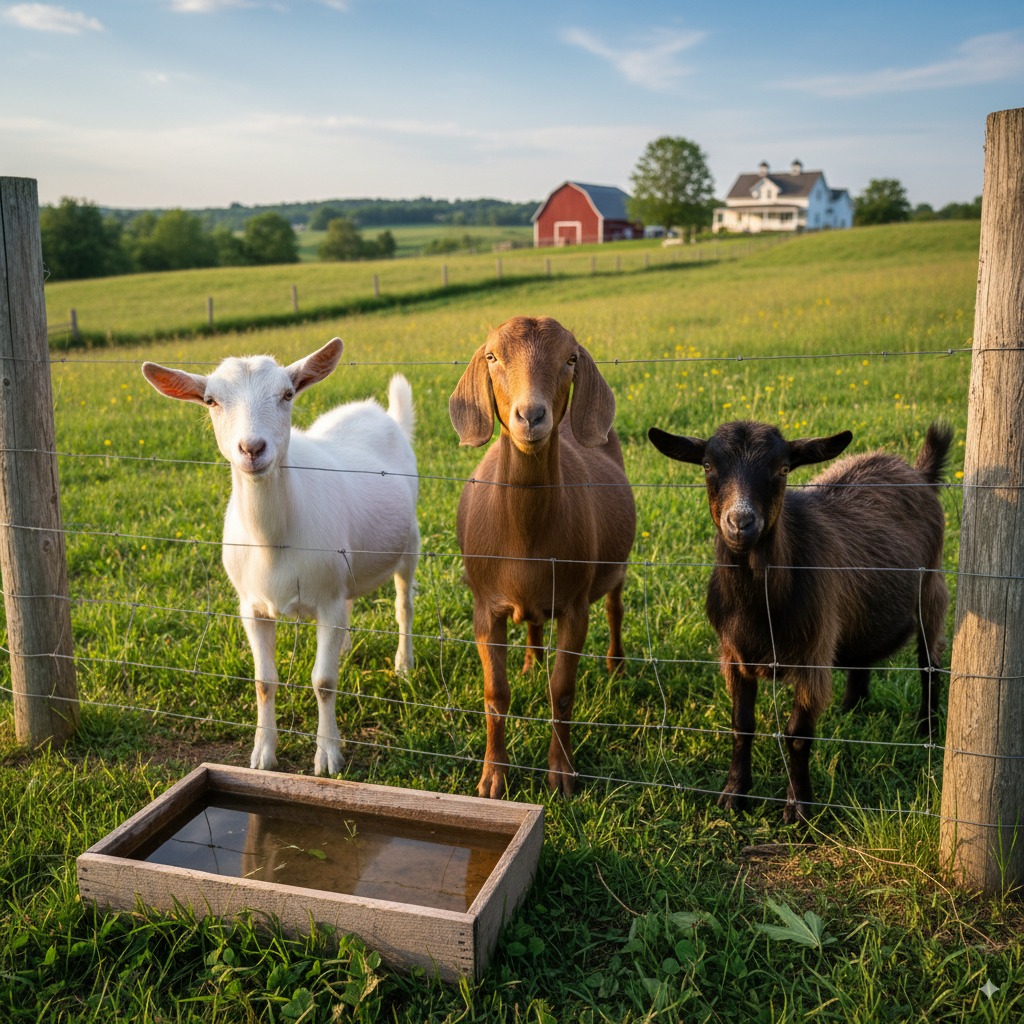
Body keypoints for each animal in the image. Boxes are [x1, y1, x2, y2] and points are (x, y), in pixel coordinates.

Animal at [142, 338, 419, 775]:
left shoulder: (326, 599)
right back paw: (345, 647)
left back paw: (404, 666)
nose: (252, 448)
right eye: (211, 401)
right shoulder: (251, 607)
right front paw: (263, 754)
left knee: (403, 605)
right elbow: (263, 681)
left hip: (410, 543)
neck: (273, 542)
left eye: (288, 394)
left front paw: (328, 757)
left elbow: (323, 682)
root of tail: (384, 415)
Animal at [449, 316, 636, 798]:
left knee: (615, 607)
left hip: (616, 568)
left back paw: (616, 664)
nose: (531, 416)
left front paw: (562, 775)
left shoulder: (574, 606)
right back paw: (531, 662)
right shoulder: (485, 608)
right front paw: (492, 779)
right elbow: (496, 694)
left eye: (570, 358)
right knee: (533, 625)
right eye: (492, 356)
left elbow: (562, 691)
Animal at [647, 419, 951, 823]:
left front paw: (799, 808)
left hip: (932, 590)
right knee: (862, 655)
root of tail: (918, 473)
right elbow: (741, 725)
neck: (758, 607)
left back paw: (927, 728)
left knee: (929, 662)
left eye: (783, 469)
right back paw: (850, 709)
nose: (740, 522)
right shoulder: (733, 655)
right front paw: (733, 795)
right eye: (708, 466)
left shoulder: (812, 655)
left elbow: (797, 734)